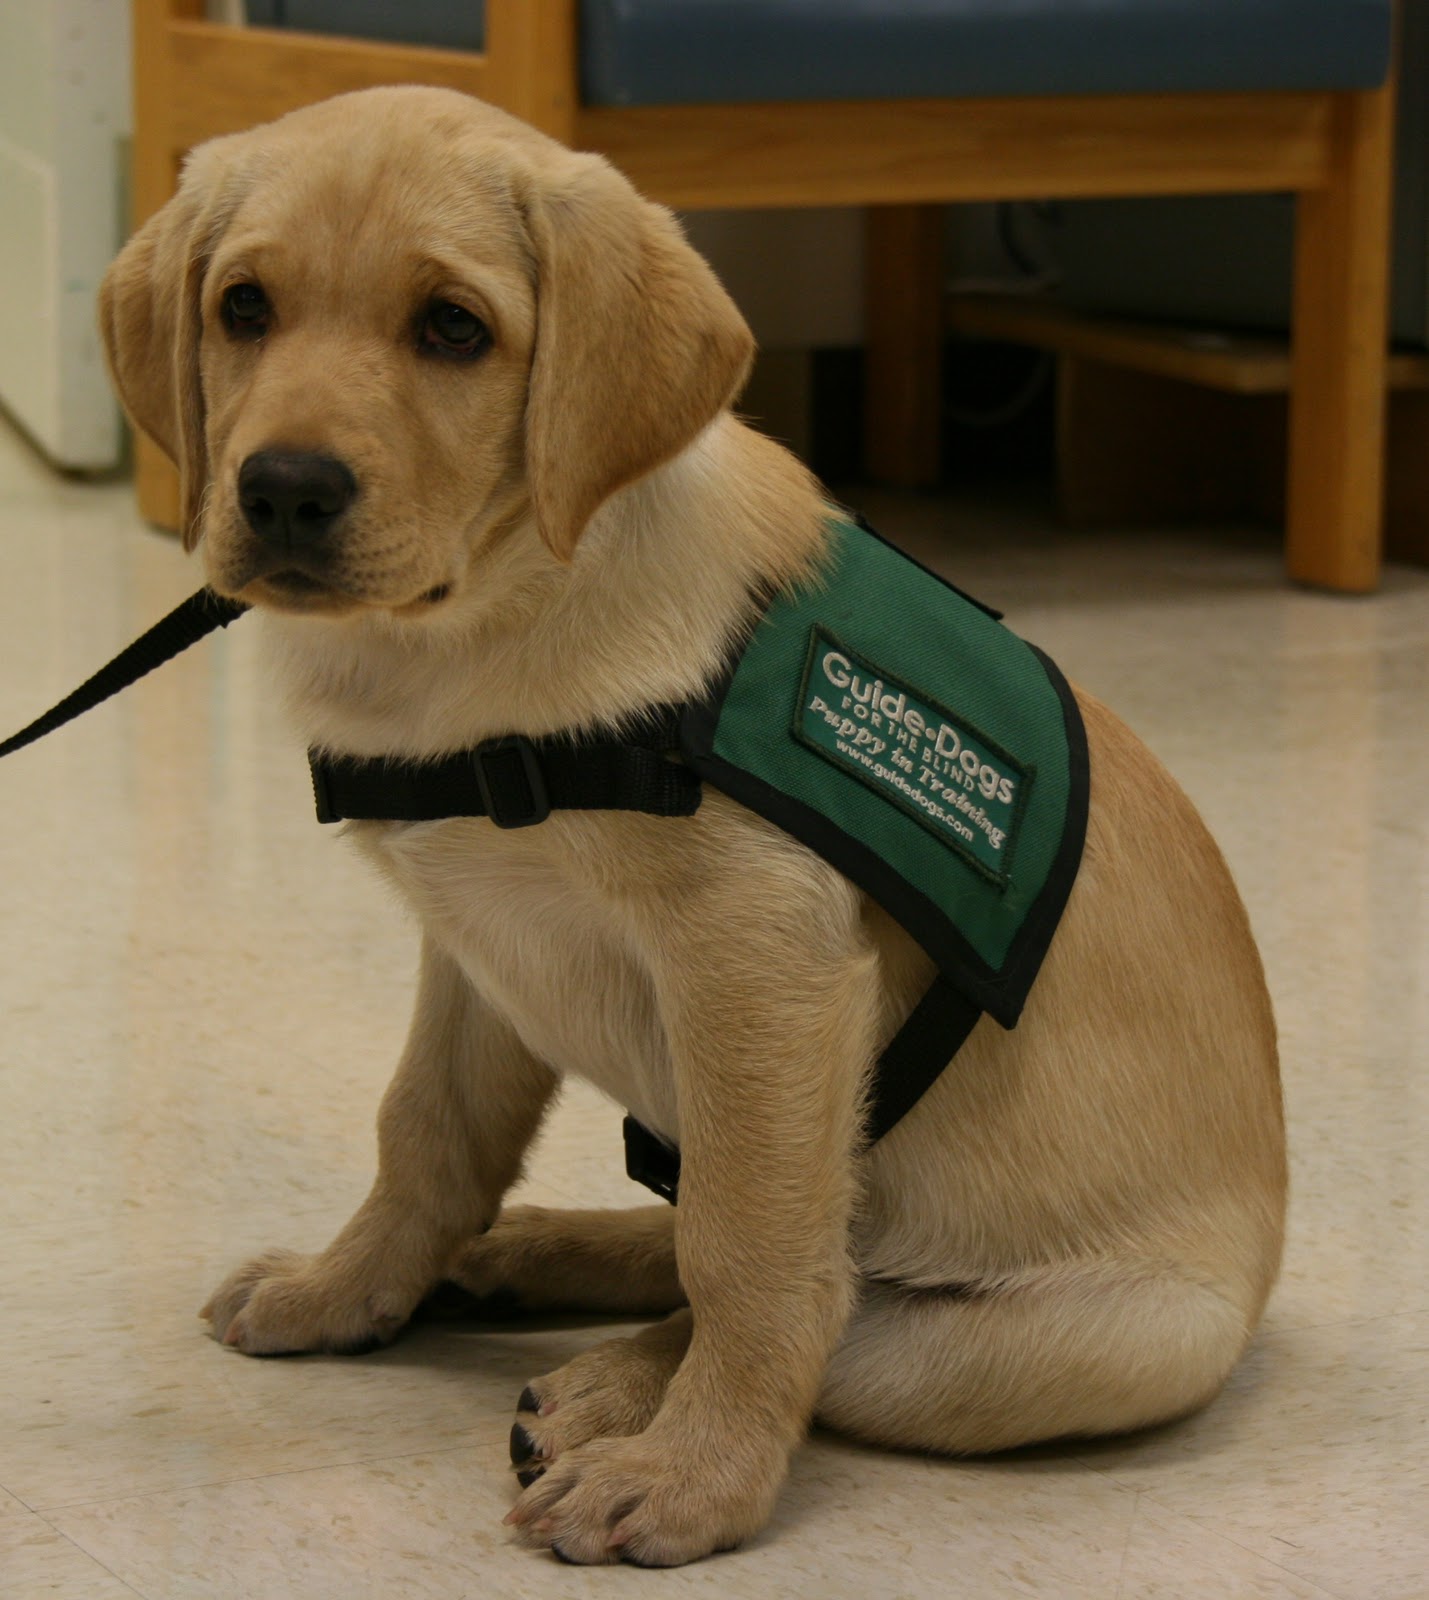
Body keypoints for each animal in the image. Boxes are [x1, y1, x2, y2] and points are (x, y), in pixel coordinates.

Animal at [100, 84, 1280, 1561]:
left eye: (453, 329)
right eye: (243, 307)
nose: (284, 491)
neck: (485, 632)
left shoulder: (758, 957)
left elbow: (750, 1248)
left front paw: (695, 1474)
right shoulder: (477, 941)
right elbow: (427, 1129)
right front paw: (347, 1285)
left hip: (1067, 1344)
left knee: (837, 1304)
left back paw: (611, 1390)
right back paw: (528, 1261)